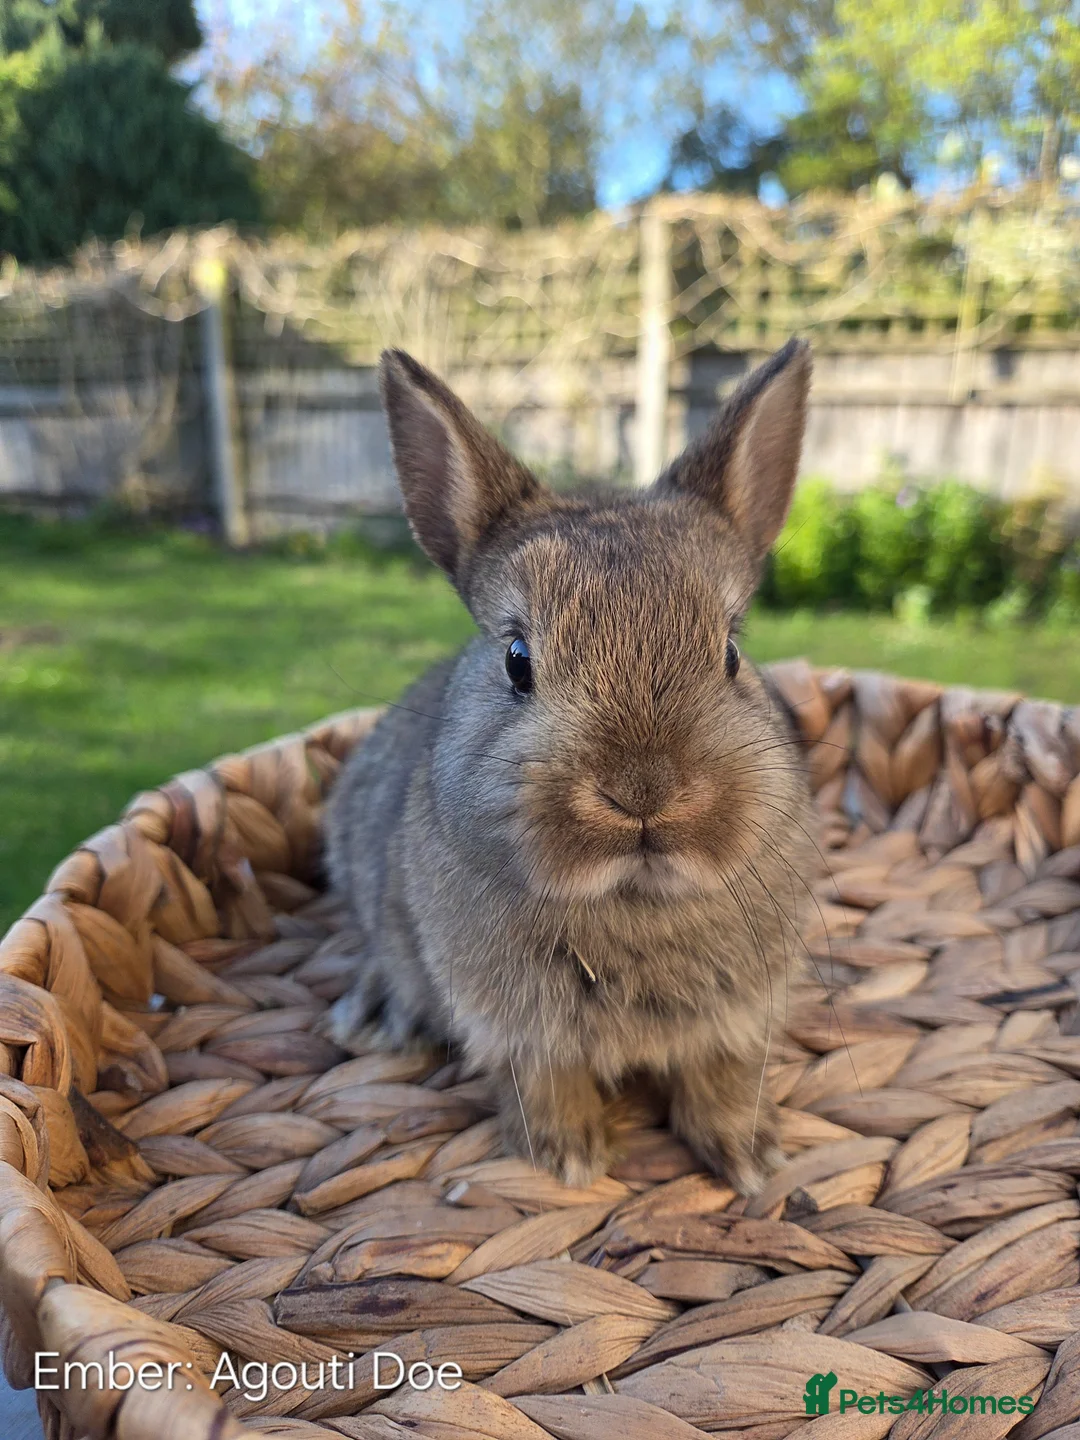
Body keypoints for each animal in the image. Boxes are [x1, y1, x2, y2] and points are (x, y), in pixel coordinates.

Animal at [323, 338, 815, 1194]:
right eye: (518, 661)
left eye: (731, 653)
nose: (645, 790)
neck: (632, 904)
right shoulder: (516, 1031)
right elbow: (547, 1085)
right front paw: (571, 1160)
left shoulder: (738, 1021)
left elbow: (722, 1080)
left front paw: (750, 1158)